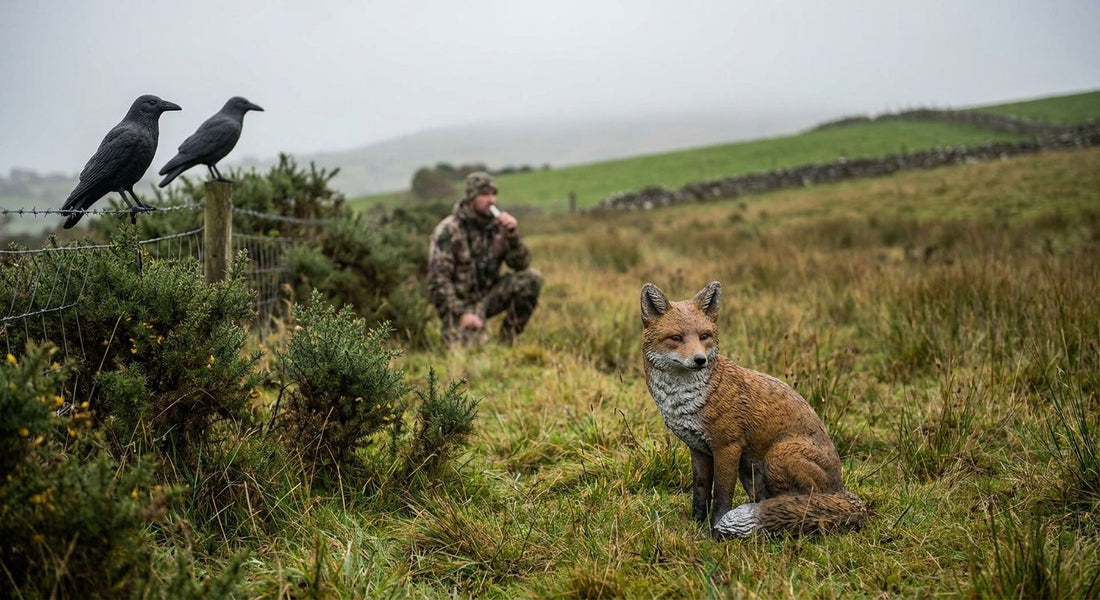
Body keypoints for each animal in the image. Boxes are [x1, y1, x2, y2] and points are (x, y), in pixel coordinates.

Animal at [640, 280, 867, 538]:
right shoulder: (698, 449)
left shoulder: (728, 446)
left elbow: (722, 495)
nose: (700, 360)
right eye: (676, 337)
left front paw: (715, 534)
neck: (684, 398)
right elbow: (700, 492)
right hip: (751, 473)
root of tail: (841, 489)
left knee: (806, 502)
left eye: (704, 336)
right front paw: (696, 527)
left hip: (778, 456)